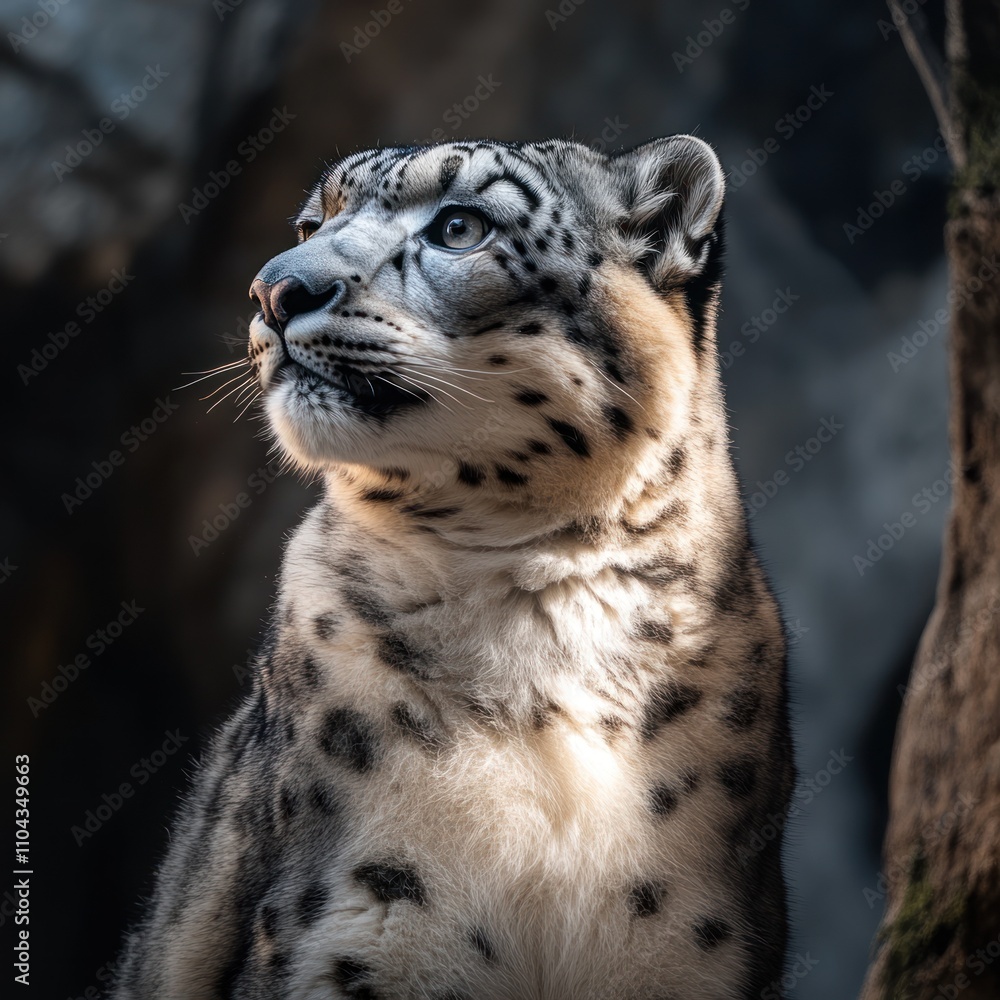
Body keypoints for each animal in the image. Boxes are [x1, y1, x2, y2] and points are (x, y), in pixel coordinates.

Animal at [112, 134, 795, 1000]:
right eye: (312, 221)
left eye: (460, 226)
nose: (274, 288)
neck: (543, 604)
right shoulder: (357, 931)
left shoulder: (687, 955)